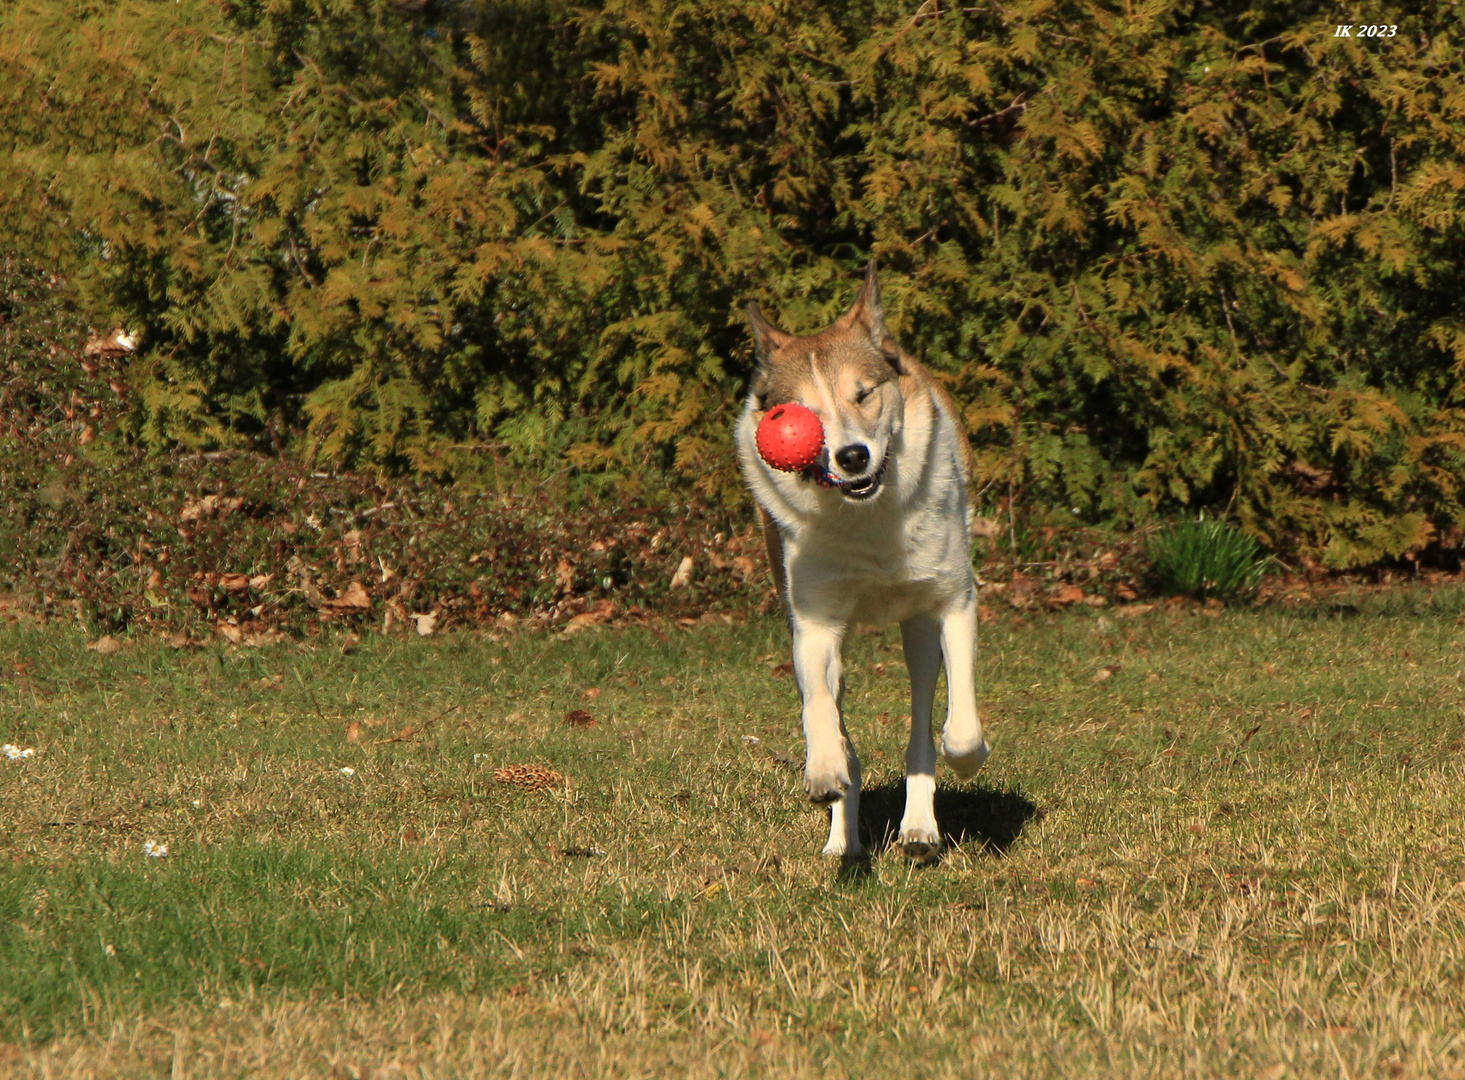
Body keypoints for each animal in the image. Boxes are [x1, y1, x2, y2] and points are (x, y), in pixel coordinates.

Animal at [738, 260, 990, 861]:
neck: (867, 520)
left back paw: (919, 827)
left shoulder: (953, 601)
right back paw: (842, 837)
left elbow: (960, 730)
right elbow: (820, 710)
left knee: (923, 721)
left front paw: (967, 761)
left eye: (864, 394)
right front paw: (824, 772)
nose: (852, 456)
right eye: (799, 412)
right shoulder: (812, 624)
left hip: (918, 631)